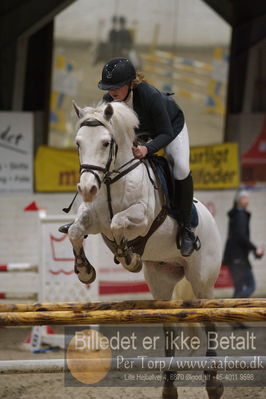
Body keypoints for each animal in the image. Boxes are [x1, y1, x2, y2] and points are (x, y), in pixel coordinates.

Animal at [67, 101, 223, 399]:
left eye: (106, 143)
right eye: (78, 143)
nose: (87, 188)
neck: (112, 181)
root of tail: (211, 219)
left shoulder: (141, 217)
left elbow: (118, 223)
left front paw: (128, 256)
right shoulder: (92, 220)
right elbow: (75, 231)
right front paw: (84, 270)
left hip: (201, 281)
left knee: (209, 319)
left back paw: (213, 382)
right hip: (161, 281)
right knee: (169, 326)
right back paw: (169, 387)